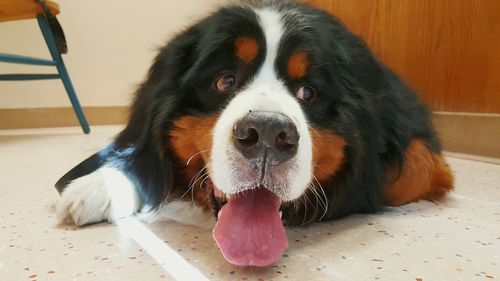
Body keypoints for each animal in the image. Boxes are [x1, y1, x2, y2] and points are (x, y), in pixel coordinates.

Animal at [53, 0, 454, 266]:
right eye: (225, 80)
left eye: (308, 92)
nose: (267, 133)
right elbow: (140, 155)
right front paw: (97, 186)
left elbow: (410, 169)